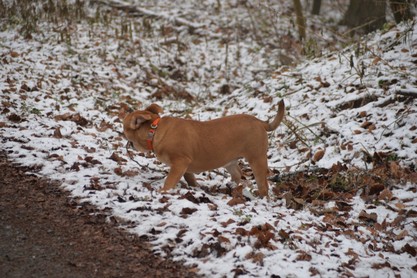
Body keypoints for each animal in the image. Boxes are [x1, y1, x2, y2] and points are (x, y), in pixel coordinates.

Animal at [122, 100, 284, 198]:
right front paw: (196, 187)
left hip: (256, 159)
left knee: (263, 183)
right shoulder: (184, 166)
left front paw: (163, 192)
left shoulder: (180, 162)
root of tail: (260, 122)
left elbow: (170, 180)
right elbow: (190, 178)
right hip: (230, 162)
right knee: (238, 175)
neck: (154, 130)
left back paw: (261, 196)